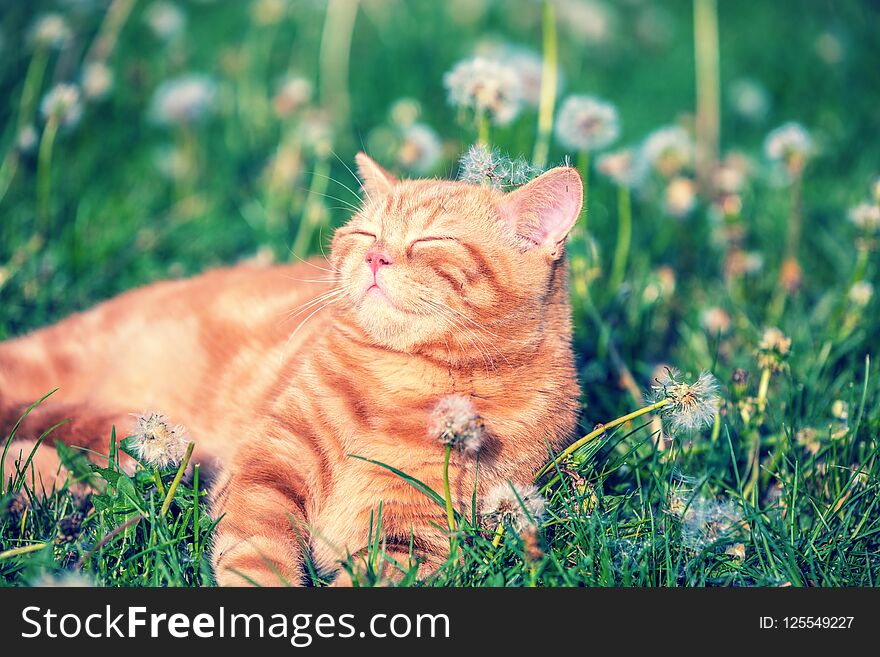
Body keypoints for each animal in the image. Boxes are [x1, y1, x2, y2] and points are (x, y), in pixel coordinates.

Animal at [0, 154, 584, 584]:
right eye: (366, 235)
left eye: (431, 240)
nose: (376, 258)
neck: (404, 382)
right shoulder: (266, 468)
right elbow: (257, 552)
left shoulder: (417, 534)